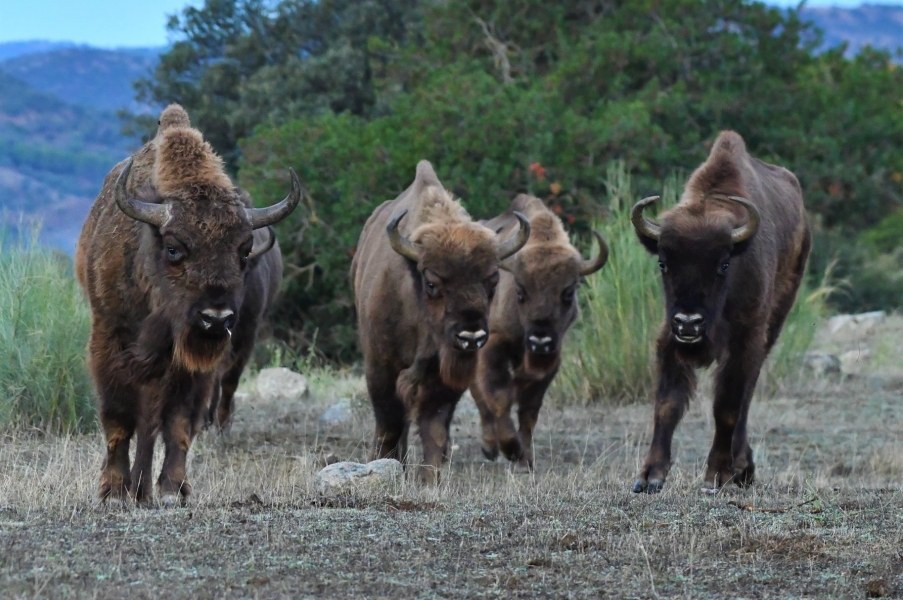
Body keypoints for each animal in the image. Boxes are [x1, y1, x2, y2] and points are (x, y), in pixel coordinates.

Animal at [75, 105, 300, 504]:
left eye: (244, 251)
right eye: (173, 248)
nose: (216, 318)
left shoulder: (194, 366)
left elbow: (178, 422)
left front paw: (171, 488)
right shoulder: (110, 343)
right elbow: (118, 418)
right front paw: (114, 490)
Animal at [470, 195, 612, 472]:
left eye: (568, 292)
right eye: (520, 291)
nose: (540, 340)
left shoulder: (552, 360)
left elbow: (529, 409)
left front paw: (525, 459)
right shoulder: (493, 344)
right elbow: (499, 396)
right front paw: (511, 449)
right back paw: (490, 447)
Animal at [628, 130, 812, 492]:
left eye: (724, 264)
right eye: (663, 262)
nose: (689, 323)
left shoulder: (745, 338)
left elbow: (727, 404)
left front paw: (718, 474)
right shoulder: (668, 339)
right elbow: (667, 403)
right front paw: (649, 476)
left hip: (774, 321)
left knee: (747, 393)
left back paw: (741, 467)